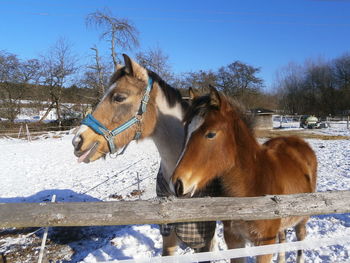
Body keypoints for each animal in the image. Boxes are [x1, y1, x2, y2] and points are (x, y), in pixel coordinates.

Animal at [172, 87, 318, 263]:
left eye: (211, 134)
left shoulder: (265, 242)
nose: (177, 184)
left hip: (302, 219)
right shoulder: (234, 239)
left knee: (300, 240)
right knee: (283, 237)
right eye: (185, 130)